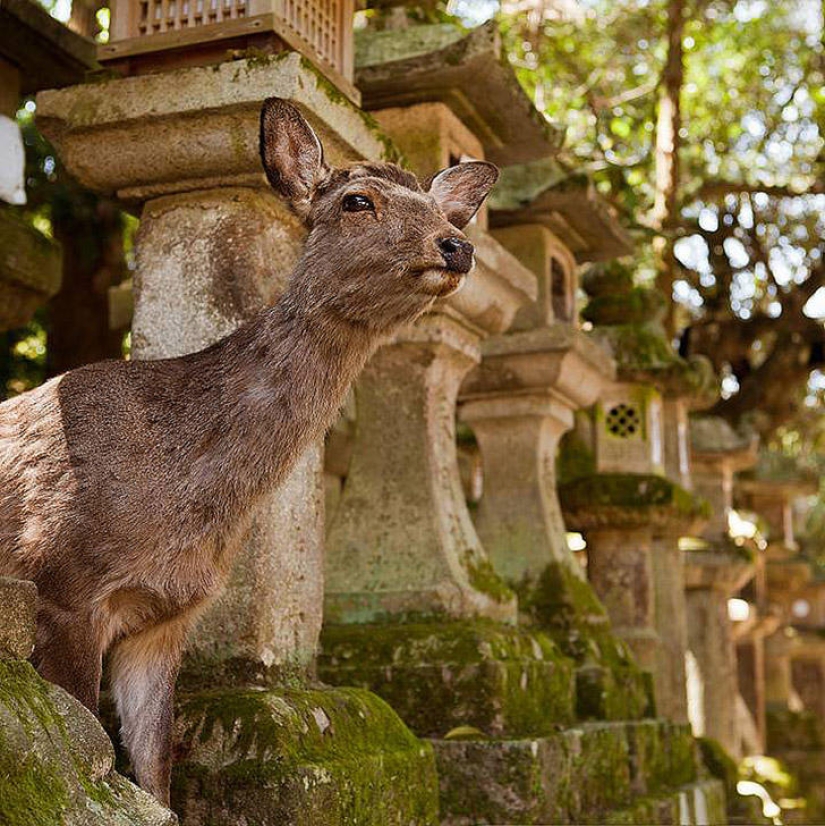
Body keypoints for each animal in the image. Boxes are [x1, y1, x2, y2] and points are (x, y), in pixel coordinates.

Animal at [0, 98, 496, 804]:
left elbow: (156, 773)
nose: (457, 245)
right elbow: (92, 747)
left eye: (445, 213)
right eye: (357, 201)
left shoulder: (167, 620)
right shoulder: (62, 579)